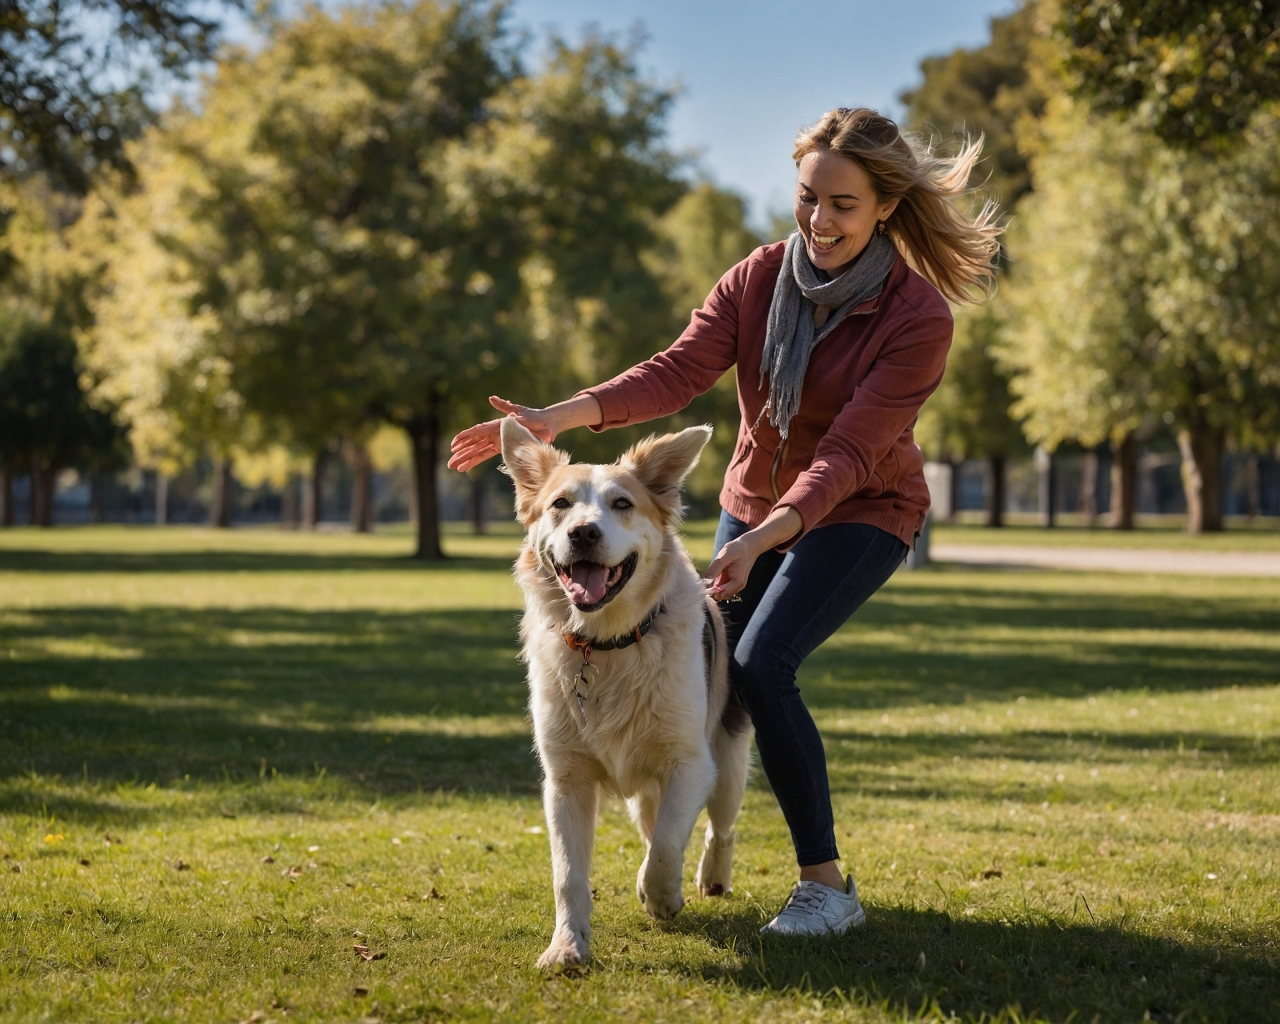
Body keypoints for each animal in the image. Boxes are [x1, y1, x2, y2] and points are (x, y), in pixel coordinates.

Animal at [499, 414, 752, 967]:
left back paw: (711, 876)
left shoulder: (689, 764)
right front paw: (567, 947)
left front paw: (661, 896)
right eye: (560, 503)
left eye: (622, 504)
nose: (583, 532)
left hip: (727, 765)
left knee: (718, 826)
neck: (606, 644)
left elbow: (665, 848)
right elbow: (568, 874)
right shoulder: (566, 780)